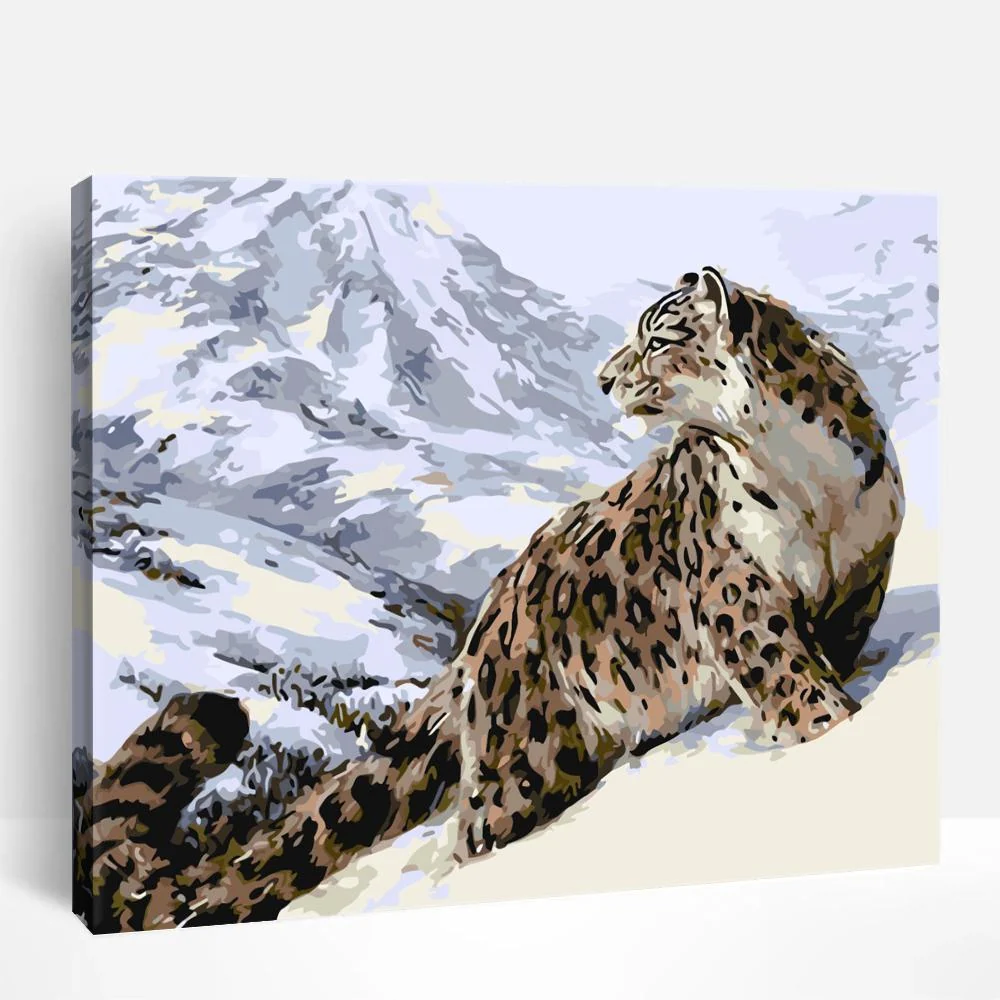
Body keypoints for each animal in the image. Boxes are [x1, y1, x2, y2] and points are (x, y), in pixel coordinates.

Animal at [75, 266, 904, 931]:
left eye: (656, 336)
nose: (603, 378)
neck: (806, 478)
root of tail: (487, 622)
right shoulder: (736, 590)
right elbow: (786, 672)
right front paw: (829, 728)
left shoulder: (863, 575)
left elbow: (829, 653)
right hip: (527, 754)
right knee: (478, 830)